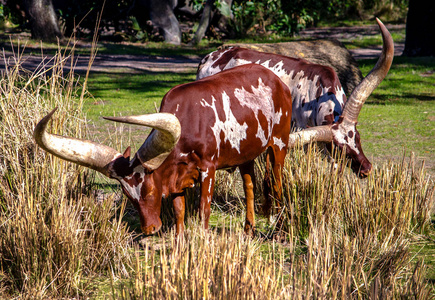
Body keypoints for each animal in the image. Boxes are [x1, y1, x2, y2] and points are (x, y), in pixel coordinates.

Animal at [34, 63, 292, 237]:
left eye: (149, 192)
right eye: (128, 196)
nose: (150, 229)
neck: (188, 122)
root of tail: (277, 81)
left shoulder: (208, 167)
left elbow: (204, 209)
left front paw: (203, 240)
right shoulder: (177, 177)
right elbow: (179, 211)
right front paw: (179, 241)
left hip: (279, 144)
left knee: (277, 182)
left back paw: (280, 228)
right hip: (246, 153)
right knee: (250, 185)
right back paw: (249, 228)